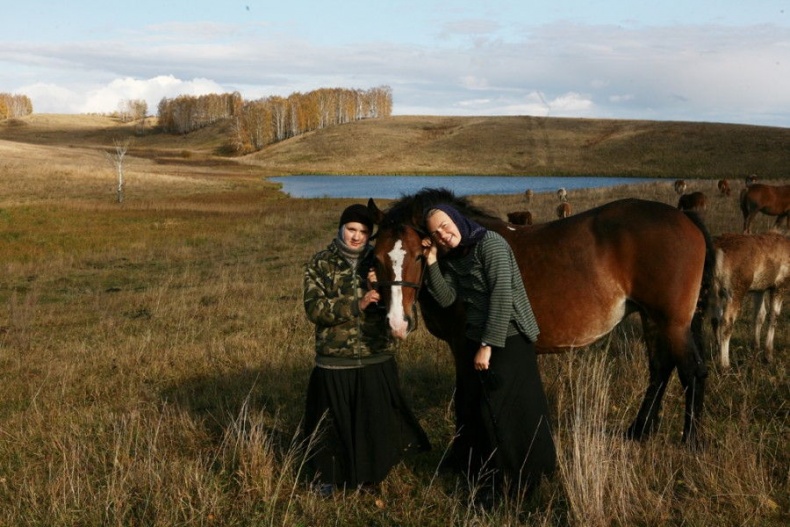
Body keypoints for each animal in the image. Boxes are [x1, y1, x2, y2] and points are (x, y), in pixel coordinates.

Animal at [372, 188, 716, 448]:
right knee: (660, 369)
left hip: (672, 322)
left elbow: (465, 395)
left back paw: (691, 441)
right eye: (375, 258)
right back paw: (639, 431)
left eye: (420, 255)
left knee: (692, 371)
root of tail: (683, 216)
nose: (397, 323)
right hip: (652, 318)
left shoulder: (463, 345)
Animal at [712, 233, 790, 370]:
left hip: (712, 291)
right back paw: (725, 365)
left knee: (715, 319)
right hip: (735, 292)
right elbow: (773, 316)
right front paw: (768, 356)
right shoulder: (780, 285)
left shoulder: (759, 289)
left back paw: (717, 355)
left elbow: (759, 316)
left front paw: (755, 350)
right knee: (726, 322)